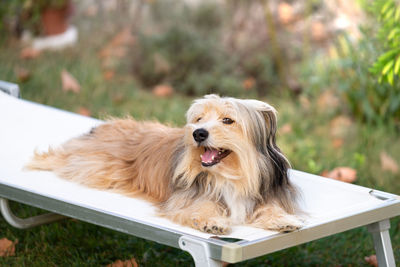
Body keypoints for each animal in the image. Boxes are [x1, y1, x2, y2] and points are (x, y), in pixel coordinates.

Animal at [25, 95, 304, 236]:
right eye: (199, 118)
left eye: (228, 120)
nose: (198, 133)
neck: (230, 175)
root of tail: (98, 128)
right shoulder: (188, 198)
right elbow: (200, 207)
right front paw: (211, 221)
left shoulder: (270, 192)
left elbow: (272, 208)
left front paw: (282, 219)